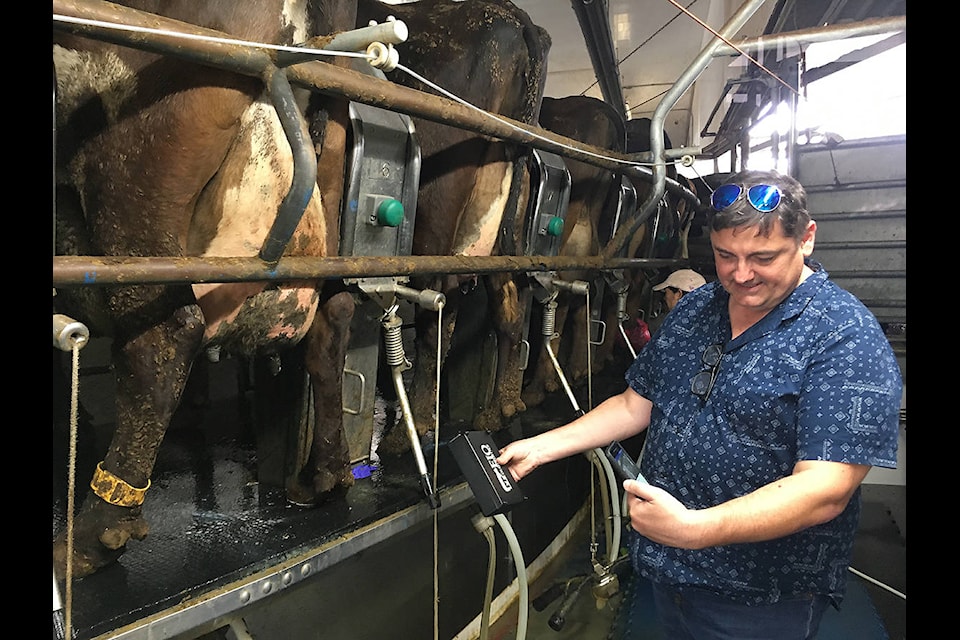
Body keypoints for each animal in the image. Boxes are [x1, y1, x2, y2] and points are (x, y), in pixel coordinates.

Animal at [52, 0, 360, 580]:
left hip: (131, 175)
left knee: (165, 338)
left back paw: (88, 542)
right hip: (330, 195)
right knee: (331, 322)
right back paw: (324, 477)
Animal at [352, 0, 552, 448]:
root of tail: (513, 15)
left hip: (436, 214)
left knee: (435, 322)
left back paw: (412, 430)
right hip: (500, 220)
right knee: (507, 306)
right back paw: (501, 408)